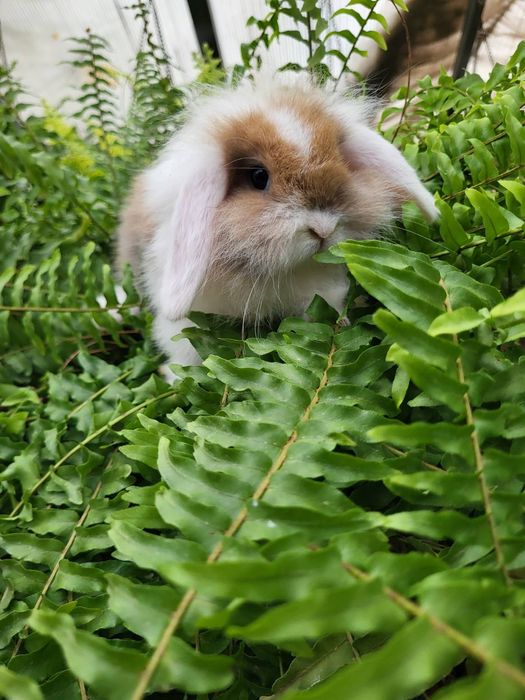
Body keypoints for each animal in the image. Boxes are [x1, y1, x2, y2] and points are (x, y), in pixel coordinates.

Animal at [116, 78, 437, 373]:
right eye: (258, 176)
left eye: (340, 162)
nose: (323, 229)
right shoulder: (184, 322)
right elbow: (184, 352)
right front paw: (173, 376)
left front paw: (342, 323)